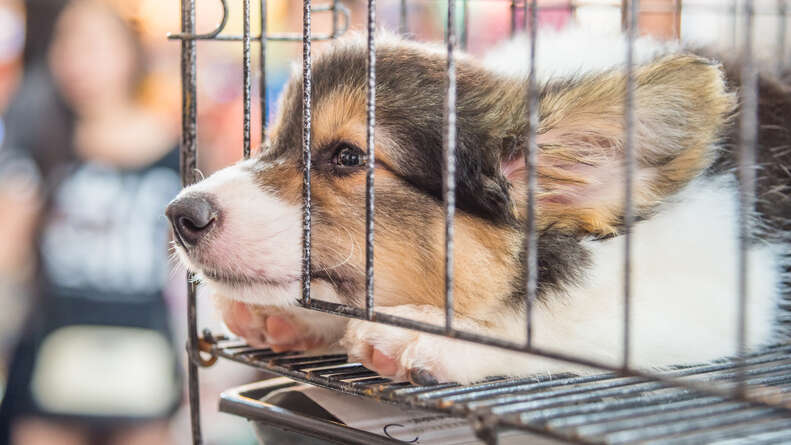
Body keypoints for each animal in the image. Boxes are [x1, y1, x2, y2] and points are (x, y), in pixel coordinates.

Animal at [164, 29, 788, 384]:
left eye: (347, 157)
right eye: (271, 142)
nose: (180, 216)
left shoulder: (715, 295)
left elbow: (551, 323)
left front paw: (430, 336)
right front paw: (298, 315)